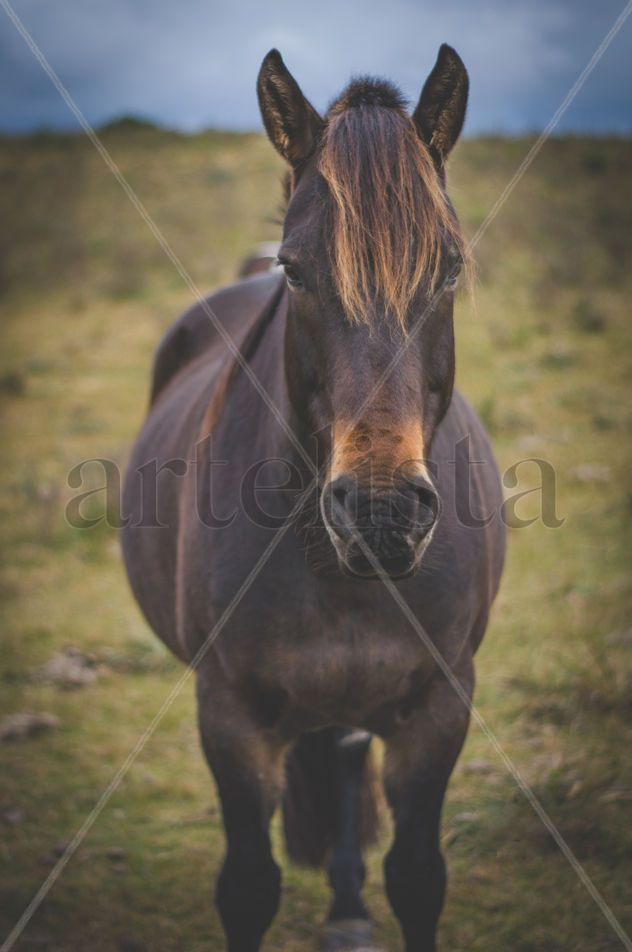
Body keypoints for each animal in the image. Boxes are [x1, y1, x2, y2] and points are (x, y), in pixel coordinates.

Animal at [121, 44, 505, 952]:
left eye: (451, 267)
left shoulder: (439, 708)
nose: (380, 514)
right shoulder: (230, 717)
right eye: (295, 270)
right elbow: (247, 887)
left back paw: (348, 910)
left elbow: (418, 877)